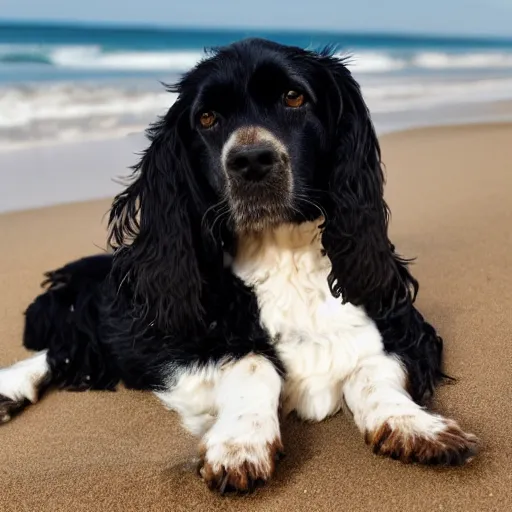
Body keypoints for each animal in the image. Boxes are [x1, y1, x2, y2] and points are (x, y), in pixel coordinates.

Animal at [1, 38, 476, 494]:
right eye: (207, 118)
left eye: (293, 97)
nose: (251, 161)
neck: (283, 254)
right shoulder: (176, 345)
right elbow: (253, 362)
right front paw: (241, 443)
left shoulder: (401, 323)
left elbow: (372, 368)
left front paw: (414, 424)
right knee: (66, 348)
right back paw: (11, 388)